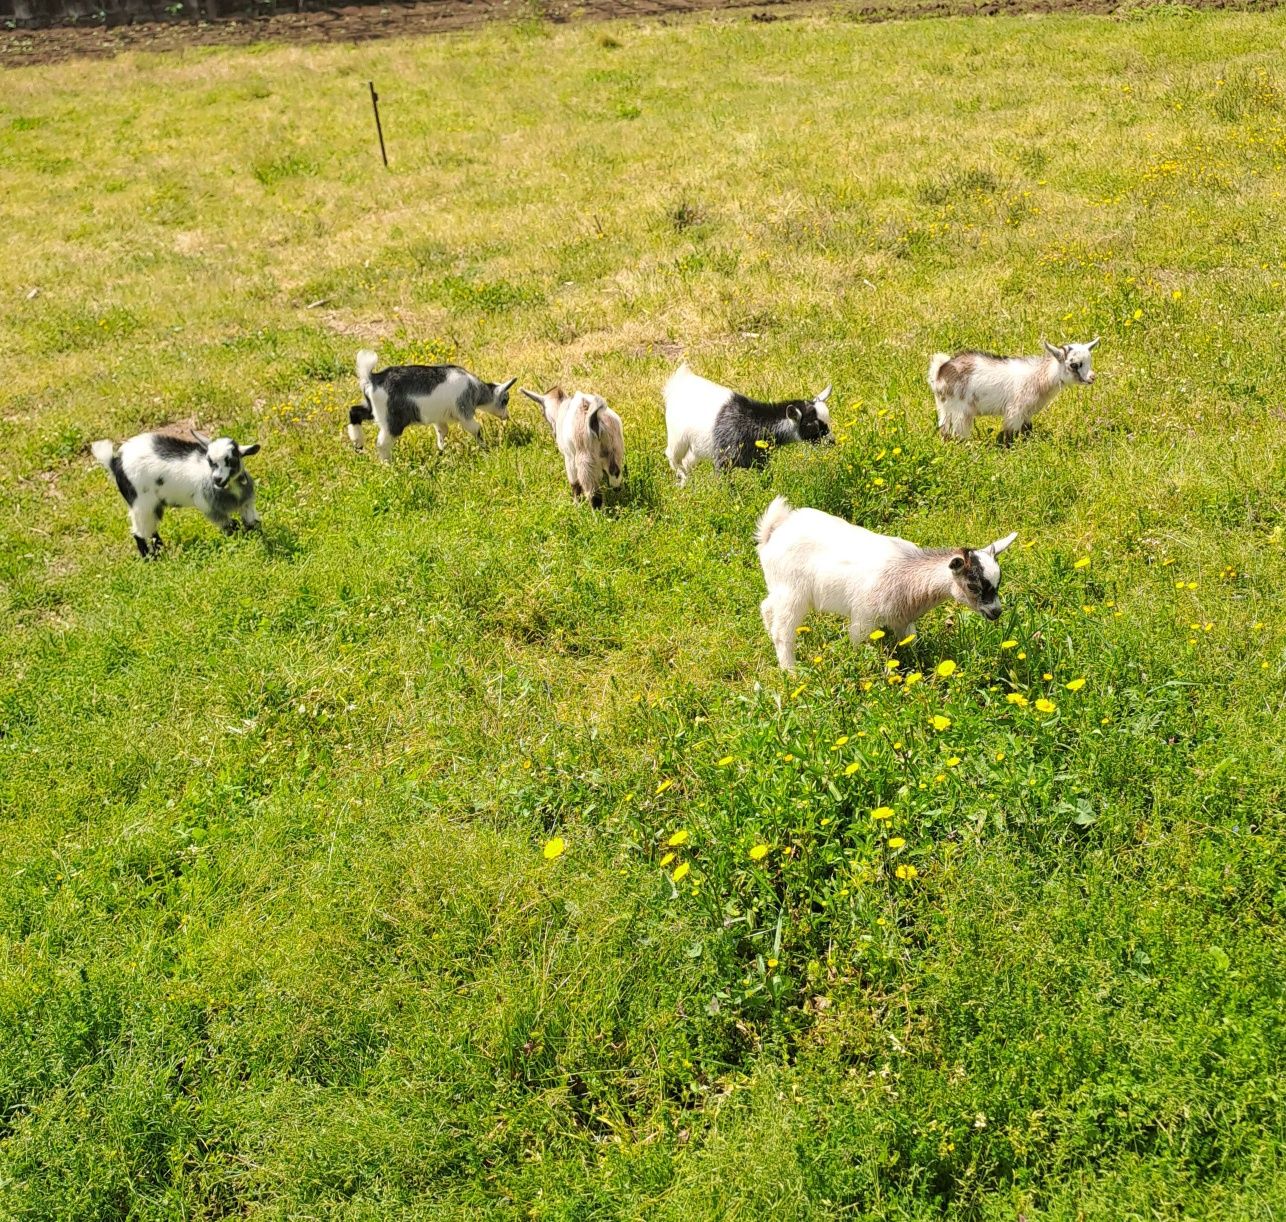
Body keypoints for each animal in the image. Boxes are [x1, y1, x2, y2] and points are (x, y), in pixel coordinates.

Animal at [92, 429, 261, 560]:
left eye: (231, 460)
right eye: (210, 461)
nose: (217, 479)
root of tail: (115, 462)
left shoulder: (247, 504)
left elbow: (252, 523)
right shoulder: (209, 507)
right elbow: (230, 526)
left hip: (153, 505)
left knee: (151, 529)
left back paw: (161, 552)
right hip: (140, 502)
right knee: (139, 532)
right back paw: (151, 559)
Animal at [352, 349, 516, 463]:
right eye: (505, 400)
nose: (506, 416)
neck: (475, 388)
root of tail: (373, 378)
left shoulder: (439, 418)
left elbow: (442, 432)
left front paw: (443, 450)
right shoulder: (465, 411)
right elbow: (476, 429)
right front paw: (485, 447)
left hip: (372, 410)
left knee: (354, 412)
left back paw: (358, 444)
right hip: (392, 421)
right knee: (381, 444)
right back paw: (388, 465)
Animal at [663, 360, 833, 486]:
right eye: (813, 425)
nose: (832, 442)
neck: (751, 421)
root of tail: (680, 380)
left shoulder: (760, 460)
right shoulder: (723, 460)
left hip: (696, 447)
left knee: (687, 461)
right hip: (677, 438)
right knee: (672, 456)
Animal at [751, 493, 1013, 674]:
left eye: (998, 582)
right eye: (973, 586)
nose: (996, 612)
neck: (908, 575)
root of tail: (773, 532)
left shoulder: (903, 621)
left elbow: (910, 644)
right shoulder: (863, 619)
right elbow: (857, 644)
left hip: (779, 587)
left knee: (766, 607)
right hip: (792, 593)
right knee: (783, 632)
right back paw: (791, 672)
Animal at [931, 339, 1100, 445]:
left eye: (1089, 361)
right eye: (1074, 364)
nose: (1092, 377)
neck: (1039, 377)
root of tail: (940, 371)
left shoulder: (1027, 412)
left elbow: (1027, 430)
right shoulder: (1015, 410)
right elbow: (1010, 435)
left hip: (944, 408)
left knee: (944, 430)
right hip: (960, 410)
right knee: (959, 433)